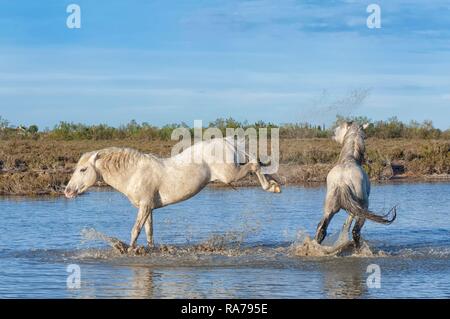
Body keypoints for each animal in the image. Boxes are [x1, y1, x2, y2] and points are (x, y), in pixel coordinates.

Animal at [64, 139, 280, 254]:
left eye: (83, 169)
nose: (67, 191)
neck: (134, 172)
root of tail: (226, 141)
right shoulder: (148, 208)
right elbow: (149, 232)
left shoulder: (144, 206)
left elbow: (135, 231)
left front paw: (129, 250)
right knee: (255, 164)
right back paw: (275, 184)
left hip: (230, 175)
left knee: (254, 165)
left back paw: (271, 187)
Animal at [314, 121, 396, 249]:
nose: (333, 133)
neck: (349, 158)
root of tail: (342, 181)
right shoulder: (355, 210)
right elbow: (347, 224)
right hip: (362, 209)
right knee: (355, 231)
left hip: (329, 210)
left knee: (321, 229)